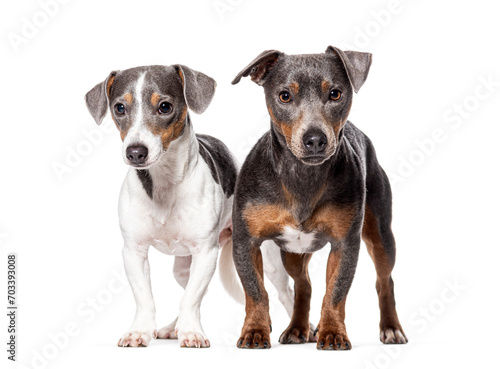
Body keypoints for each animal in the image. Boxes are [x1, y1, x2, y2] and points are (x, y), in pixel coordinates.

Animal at [85, 64, 243, 348]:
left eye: (165, 107)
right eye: (119, 108)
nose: (135, 152)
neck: (164, 183)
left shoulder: (206, 252)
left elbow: (190, 299)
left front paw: (191, 332)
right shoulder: (133, 252)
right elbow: (147, 298)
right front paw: (140, 331)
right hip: (183, 268)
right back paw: (173, 327)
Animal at [232, 45, 408, 348]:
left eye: (335, 93)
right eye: (284, 96)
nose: (314, 139)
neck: (302, 177)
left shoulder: (345, 245)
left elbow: (335, 293)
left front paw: (333, 333)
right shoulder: (245, 242)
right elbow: (256, 292)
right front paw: (255, 330)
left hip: (382, 238)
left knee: (384, 281)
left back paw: (391, 327)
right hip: (292, 254)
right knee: (304, 285)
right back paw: (297, 328)